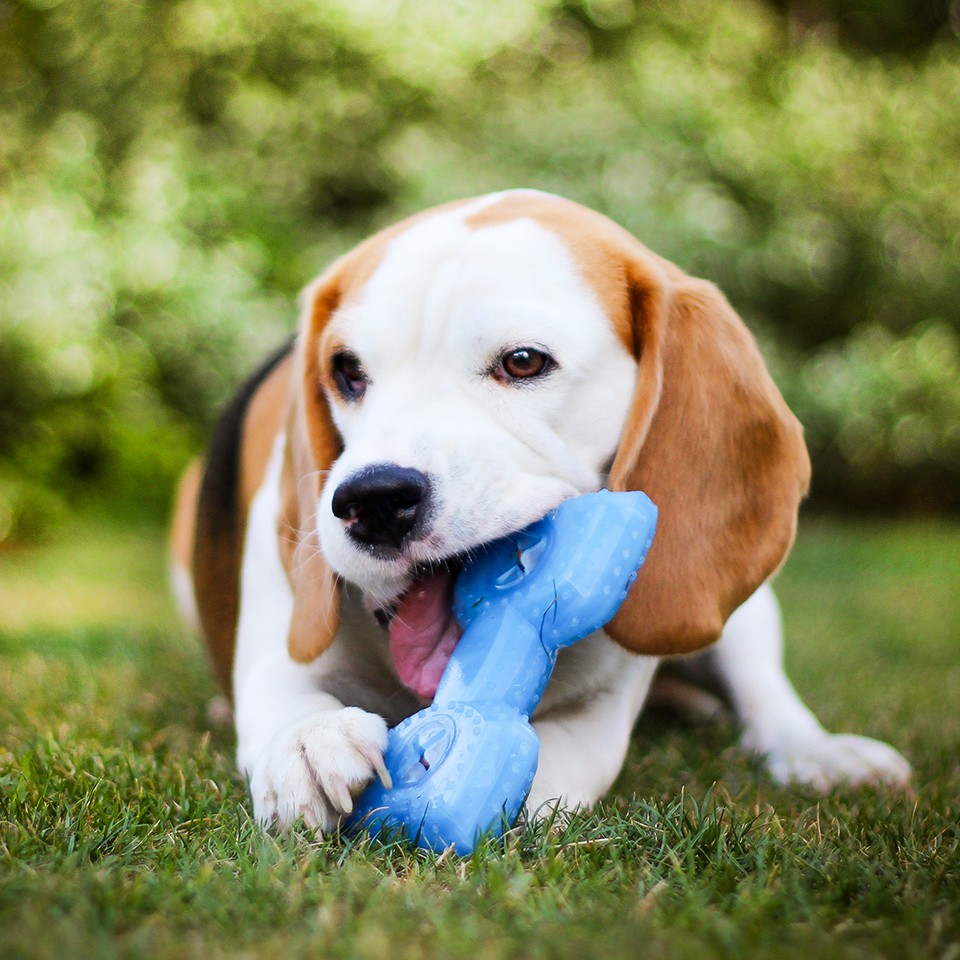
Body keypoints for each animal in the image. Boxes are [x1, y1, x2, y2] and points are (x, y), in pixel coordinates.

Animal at [169, 189, 912, 832]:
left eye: (524, 361)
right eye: (346, 371)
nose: (372, 499)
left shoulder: (602, 711)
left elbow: (557, 759)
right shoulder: (280, 645)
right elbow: (283, 697)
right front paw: (308, 741)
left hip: (746, 612)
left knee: (764, 693)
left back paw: (818, 751)